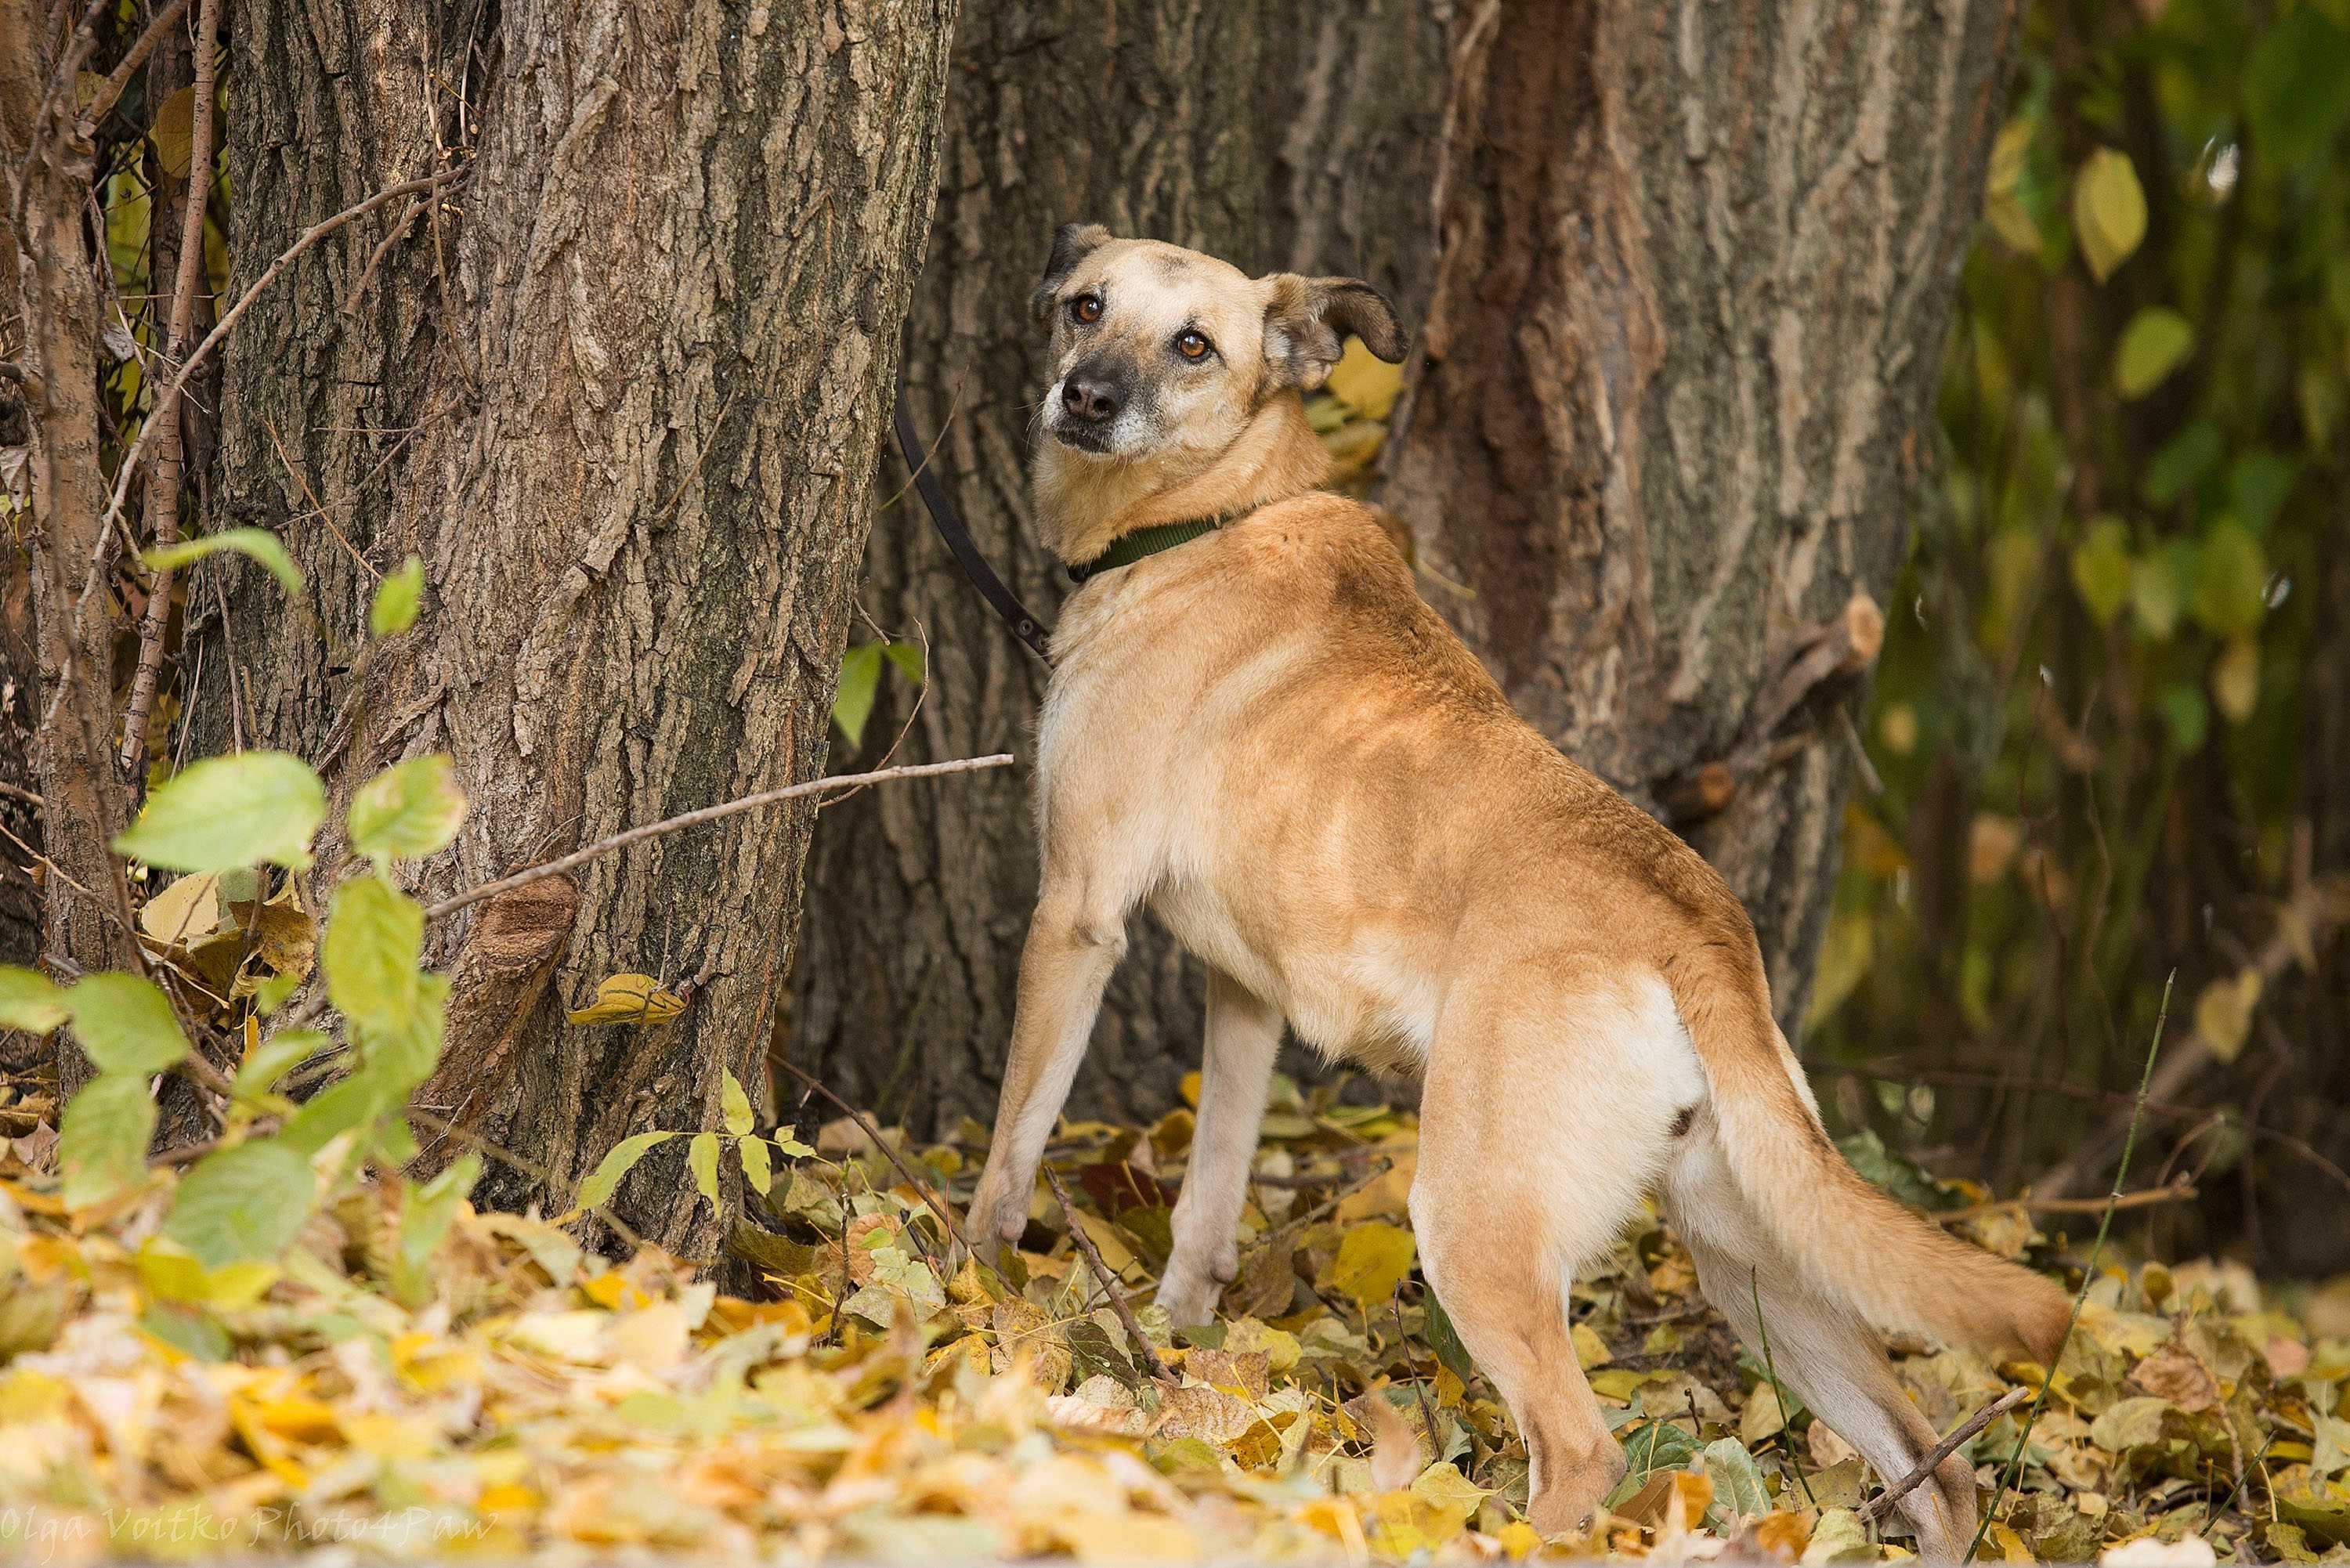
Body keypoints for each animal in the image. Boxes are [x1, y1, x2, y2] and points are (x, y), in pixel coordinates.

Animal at [964, 223, 2068, 1560]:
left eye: (1192, 345)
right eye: (1086, 307)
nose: (1086, 397)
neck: (1214, 510)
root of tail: (1695, 921)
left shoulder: (1074, 914)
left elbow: (1010, 1153)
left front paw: (970, 1302)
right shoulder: (1243, 996)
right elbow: (1208, 1207)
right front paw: (1183, 1364)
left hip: (1478, 1226)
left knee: (1583, 1449)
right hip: (1755, 1266)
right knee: (1930, 1465)